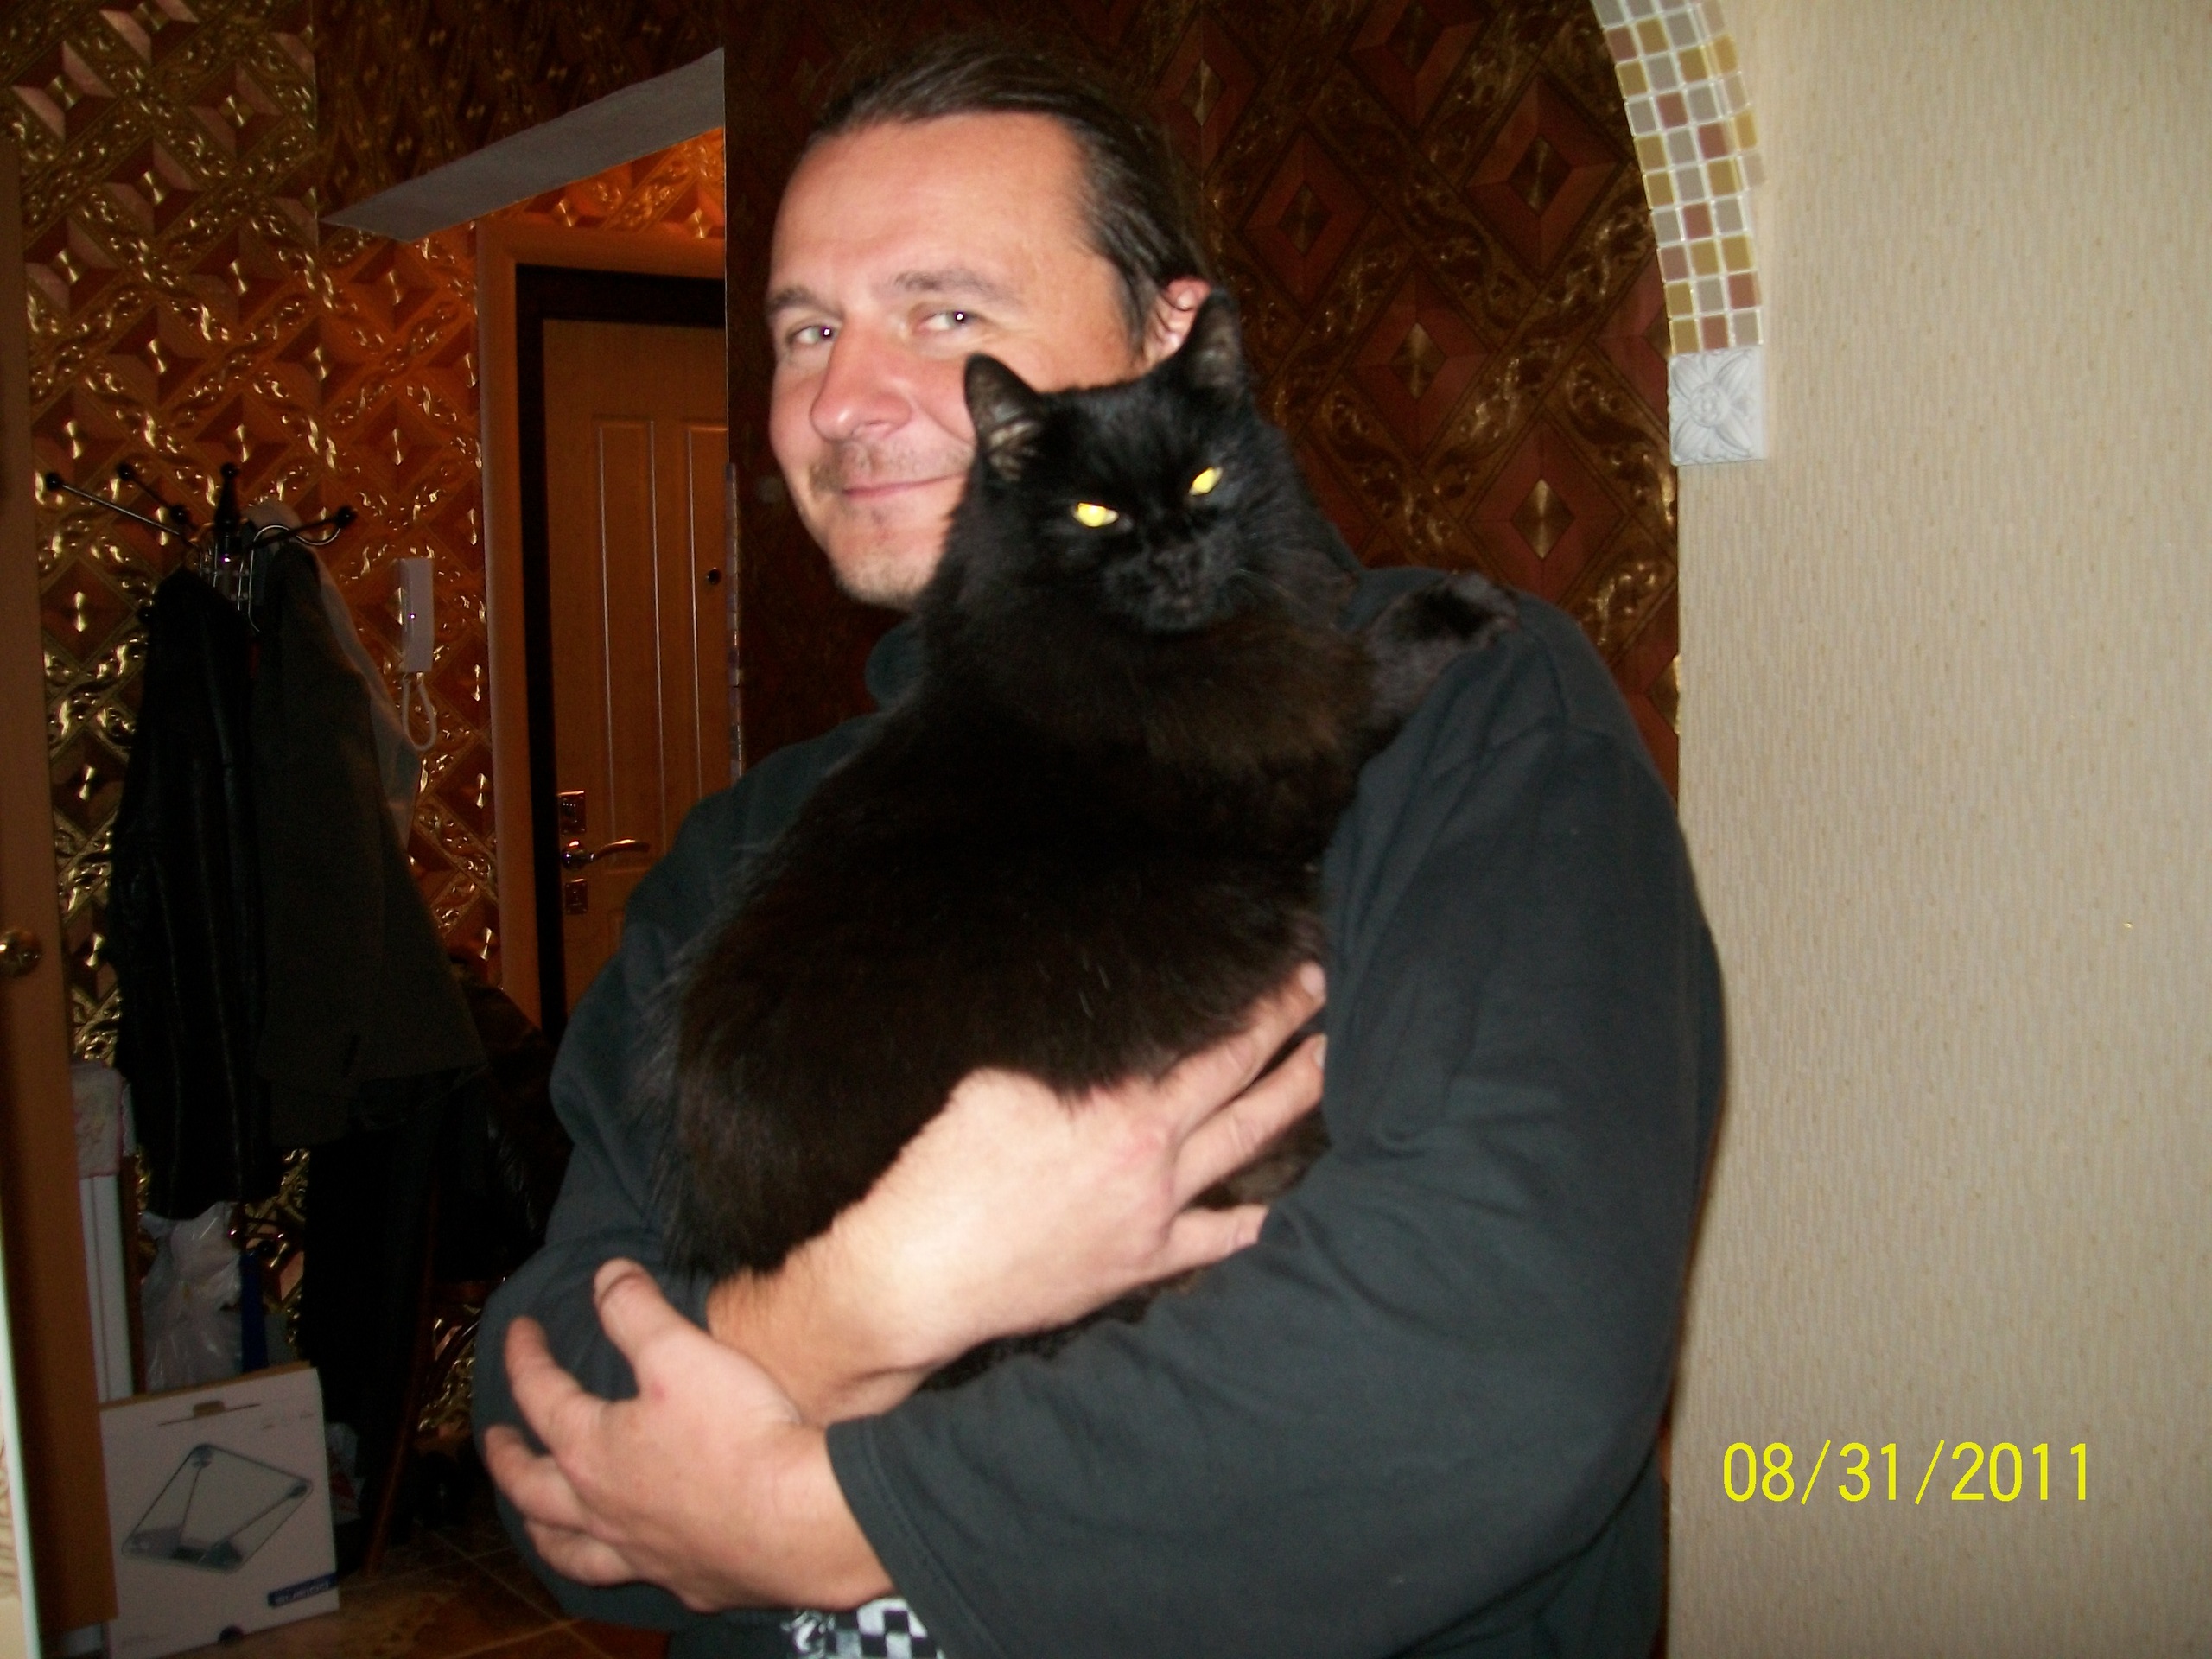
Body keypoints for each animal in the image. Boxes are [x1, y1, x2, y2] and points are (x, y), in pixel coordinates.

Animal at [662, 293, 1515, 1290]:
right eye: (1095, 511)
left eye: (1204, 479)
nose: (1176, 554)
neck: (1136, 653)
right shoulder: (1299, 736)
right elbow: (1377, 665)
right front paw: (1461, 607)